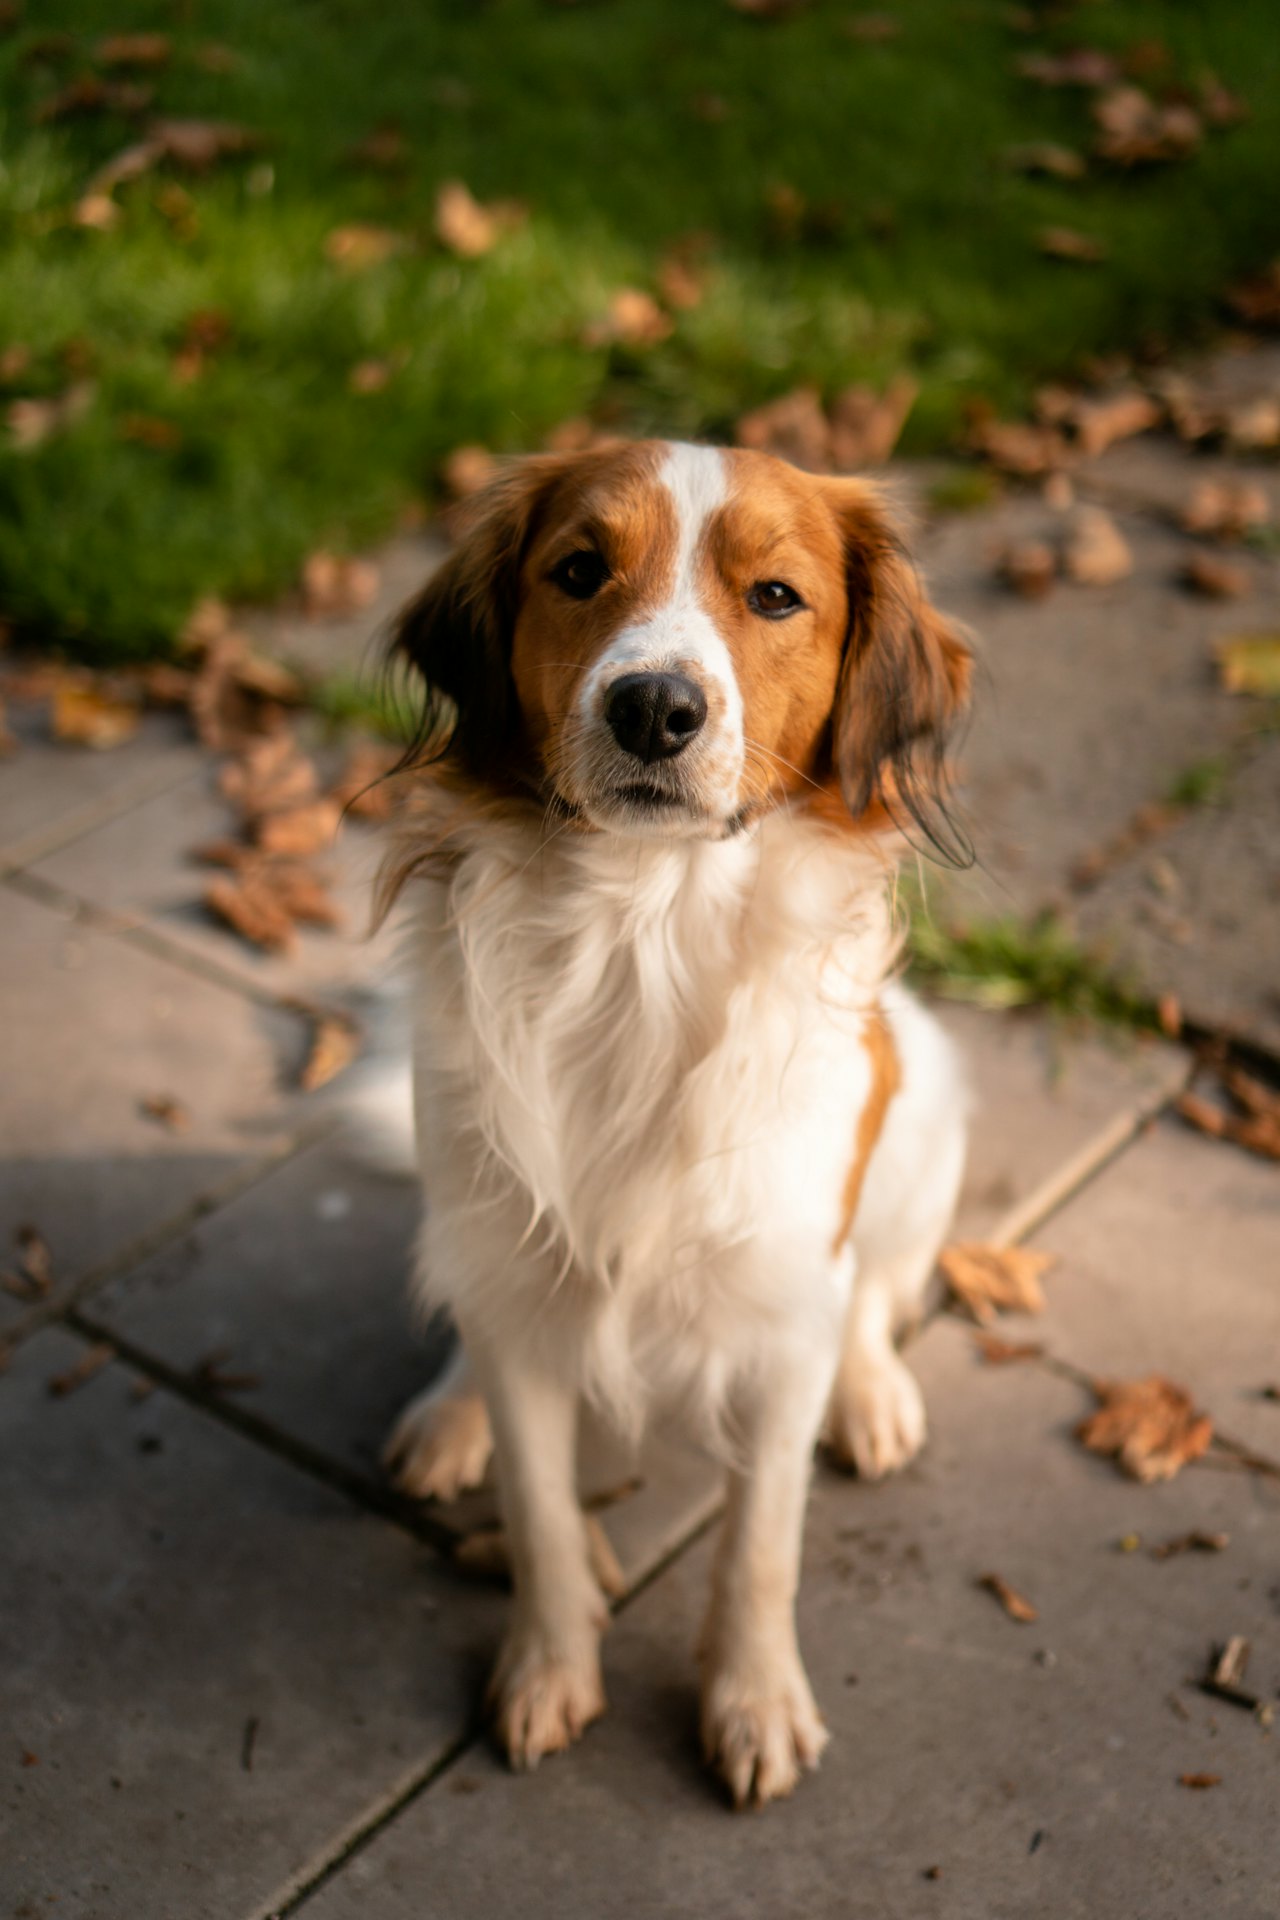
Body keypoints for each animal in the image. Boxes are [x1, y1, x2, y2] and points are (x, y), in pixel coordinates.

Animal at [378, 441, 971, 1804]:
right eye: (577, 571)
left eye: (775, 596)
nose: (653, 707)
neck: (641, 944)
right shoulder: (516, 1284)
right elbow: (543, 1513)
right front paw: (548, 1666)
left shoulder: (783, 1319)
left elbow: (758, 1542)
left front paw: (751, 1702)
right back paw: (447, 1415)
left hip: (922, 1099)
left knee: (877, 1290)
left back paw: (872, 1396)